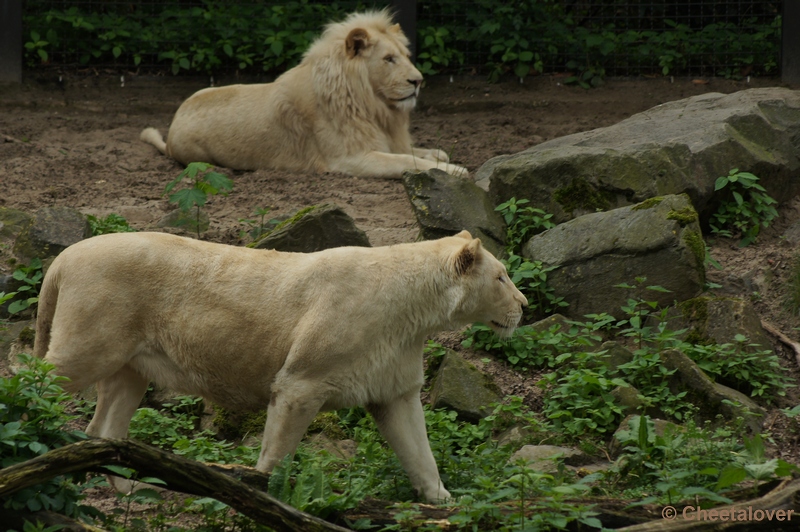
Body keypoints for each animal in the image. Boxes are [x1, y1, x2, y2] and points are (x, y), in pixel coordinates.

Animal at [34, 231, 524, 500]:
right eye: (501, 277)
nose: (523, 304)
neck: (416, 317)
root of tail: (63, 256)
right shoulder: (300, 383)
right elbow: (277, 454)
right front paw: (263, 498)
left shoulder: (394, 391)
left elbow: (420, 453)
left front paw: (443, 500)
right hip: (85, 349)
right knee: (35, 381)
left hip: (131, 368)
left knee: (104, 430)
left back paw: (134, 489)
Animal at [139, 9, 468, 179]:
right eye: (389, 59)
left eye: (406, 56)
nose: (418, 81)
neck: (374, 107)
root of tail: (172, 128)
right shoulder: (350, 159)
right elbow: (405, 162)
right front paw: (454, 169)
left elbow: (412, 152)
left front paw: (438, 153)